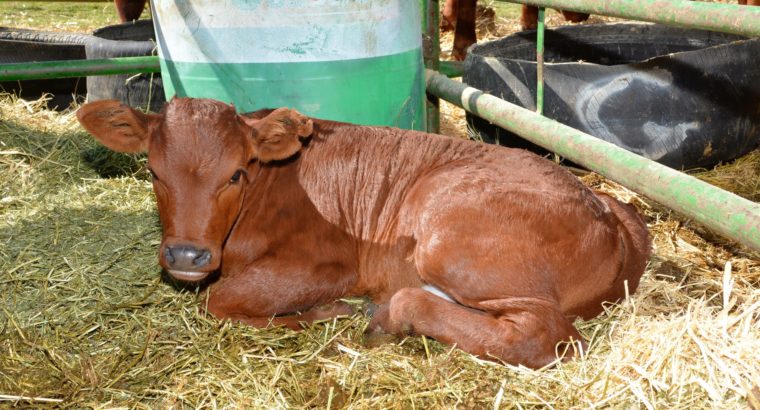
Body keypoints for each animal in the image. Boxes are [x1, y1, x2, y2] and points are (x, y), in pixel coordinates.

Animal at [77, 97, 651, 368]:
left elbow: (221, 301)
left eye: (235, 174)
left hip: (447, 236)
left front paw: (322, 313)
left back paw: (389, 315)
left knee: (542, 335)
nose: (186, 255)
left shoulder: (330, 263)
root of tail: (604, 205)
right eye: (154, 172)